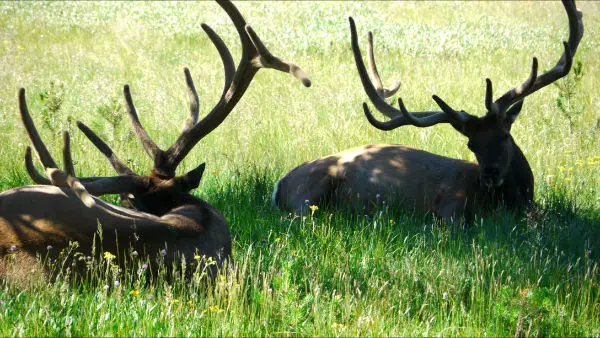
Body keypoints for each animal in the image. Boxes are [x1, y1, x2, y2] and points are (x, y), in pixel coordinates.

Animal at [274, 1, 584, 223]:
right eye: (472, 144)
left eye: (505, 135)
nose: (490, 175)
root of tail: (279, 185)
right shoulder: (451, 205)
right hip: (309, 193)